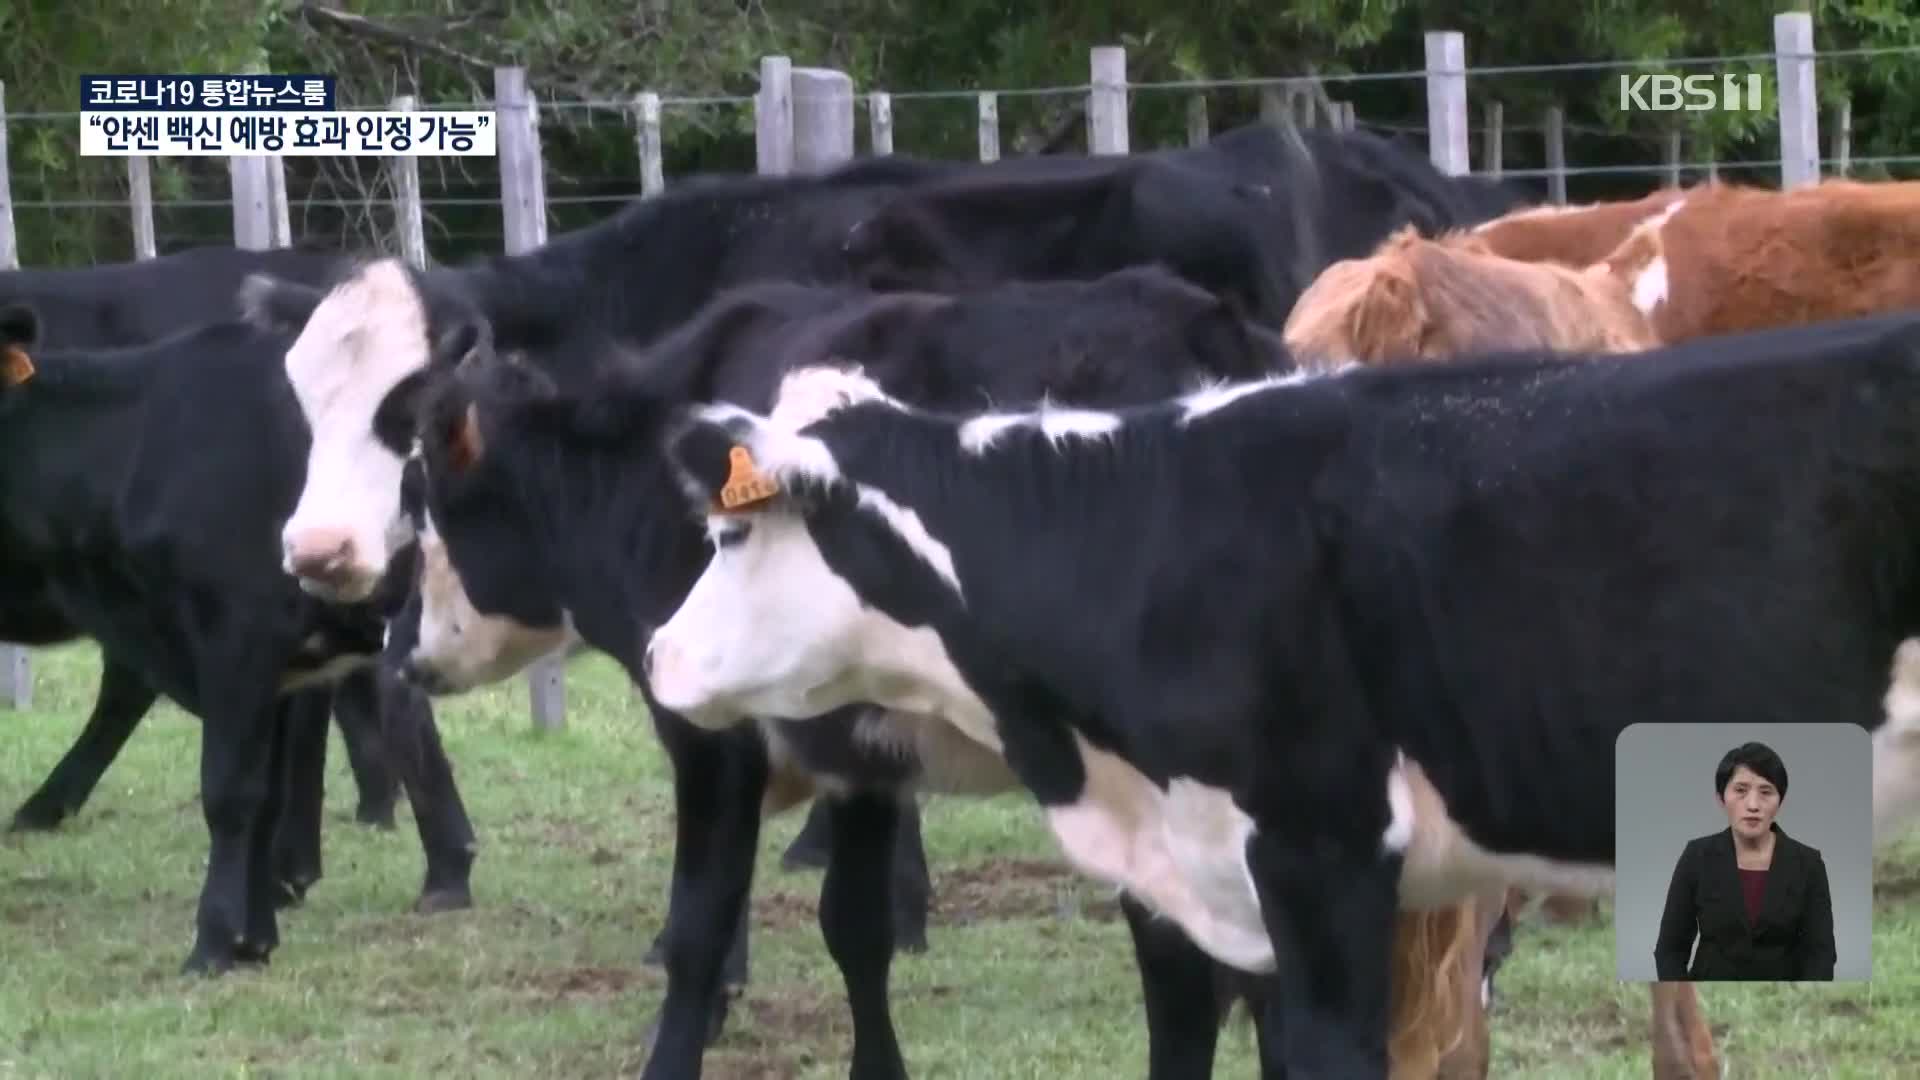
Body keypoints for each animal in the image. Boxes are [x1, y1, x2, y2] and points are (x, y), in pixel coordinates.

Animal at [0, 305, 476, 976]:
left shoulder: (236, 641)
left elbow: (229, 792)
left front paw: (215, 942)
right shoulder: (268, 668)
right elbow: (265, 795)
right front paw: (255, 938)